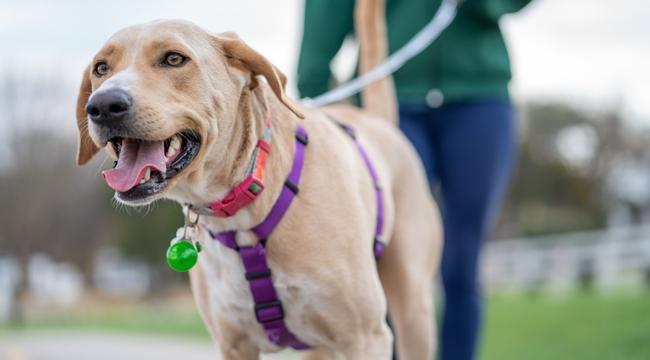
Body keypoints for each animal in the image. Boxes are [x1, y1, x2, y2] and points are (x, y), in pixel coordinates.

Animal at [74, 1, 440, 358]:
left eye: (174, 59)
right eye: (101, 68)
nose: (103, 105)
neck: (243, 209)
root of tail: (378, 123)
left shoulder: (365, 337)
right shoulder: (234, 345)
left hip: (413, 314)